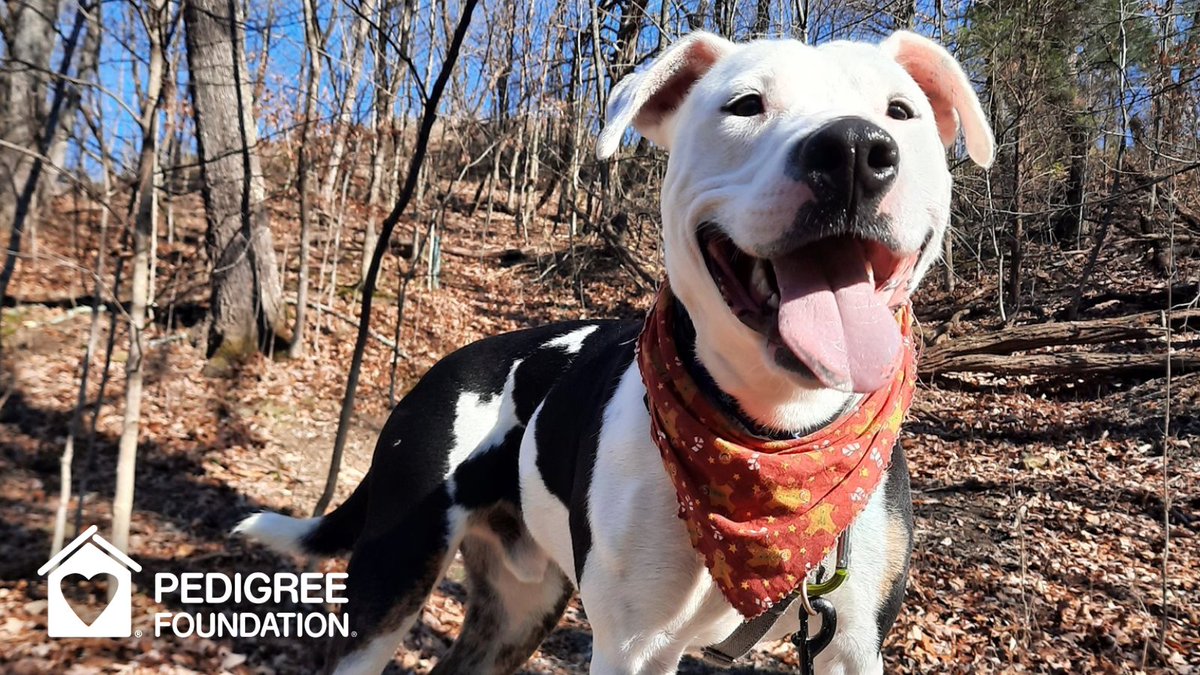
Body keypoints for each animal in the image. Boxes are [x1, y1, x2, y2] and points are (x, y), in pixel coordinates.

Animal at [236, 28, 993, 667]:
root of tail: (446, 368)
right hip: (393, 576)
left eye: (900, 110)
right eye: (746, 104)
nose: (856, 151)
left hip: (519, 605)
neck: (776, 436)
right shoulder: (634, 645)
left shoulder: (852, 645)